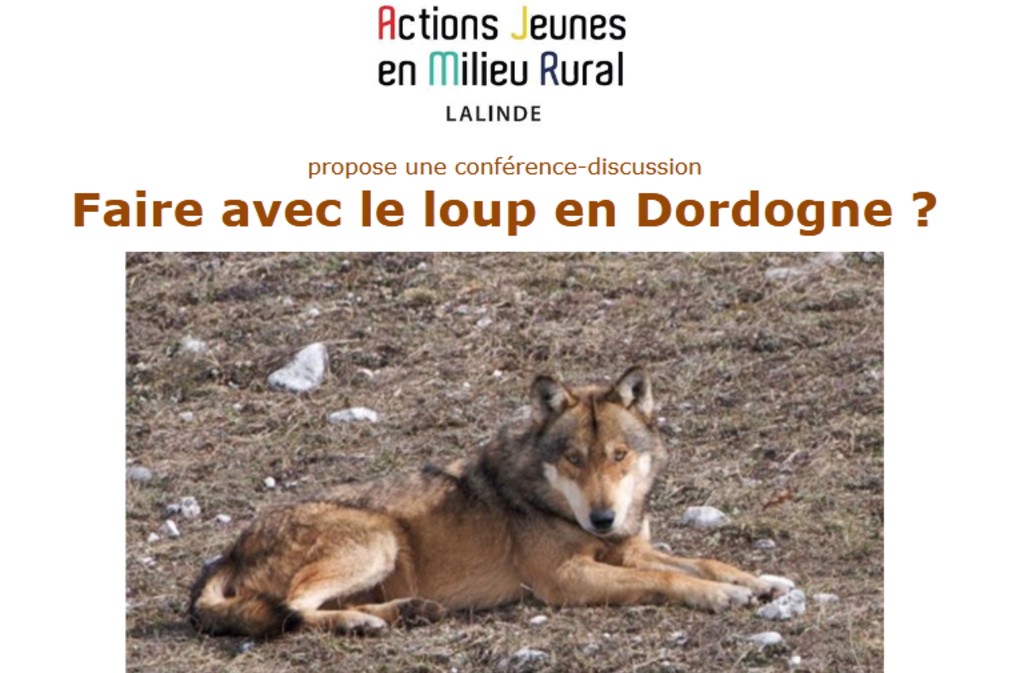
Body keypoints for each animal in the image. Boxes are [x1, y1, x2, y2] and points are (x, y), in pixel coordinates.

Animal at [189, 367, 781, 637]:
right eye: (573, 458)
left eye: (618, 456)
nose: (602, 518)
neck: (553, 501)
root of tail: (229, 551)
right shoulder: (565, 579)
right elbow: (666, 578)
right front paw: (719, 596)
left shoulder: (627, 548)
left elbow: (703, 559)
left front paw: (758, 580)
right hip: (379, 540)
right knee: (294, 607)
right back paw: (365, 623)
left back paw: (406, 612)